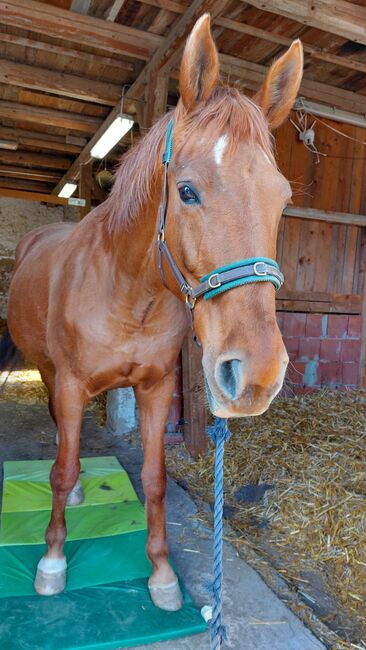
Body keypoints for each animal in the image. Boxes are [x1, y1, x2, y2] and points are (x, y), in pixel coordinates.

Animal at [1, 15, 302, 612]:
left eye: (281, 199)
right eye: (186, 191)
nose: (256, 375)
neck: (128, 295)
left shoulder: (157, 388)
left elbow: (155, 478)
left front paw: (161, 574)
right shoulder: (72, 384)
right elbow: (63, 466)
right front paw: (52, 561)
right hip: (47, 370)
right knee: (59, 440)